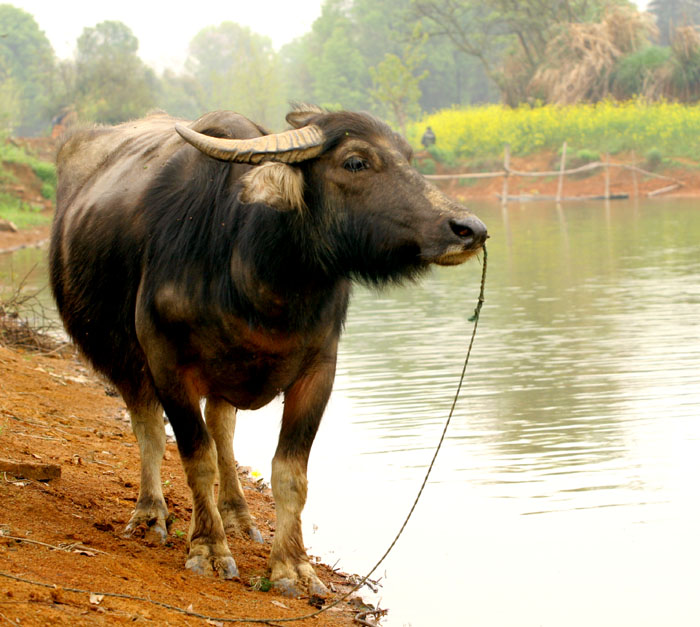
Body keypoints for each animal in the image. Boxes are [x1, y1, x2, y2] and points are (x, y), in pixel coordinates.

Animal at [49, 106, 486, 600]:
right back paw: (150, 514)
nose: (469, 230)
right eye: (356, 162)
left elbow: (289, 473)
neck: (260, 280)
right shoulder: (167, 363)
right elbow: (195, 457)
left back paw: (238, 516)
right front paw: (208, 549)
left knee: (223, 428)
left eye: (409, 157)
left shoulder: (319, 370)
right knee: (150, 430)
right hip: (124, 361)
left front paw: (293, 567)